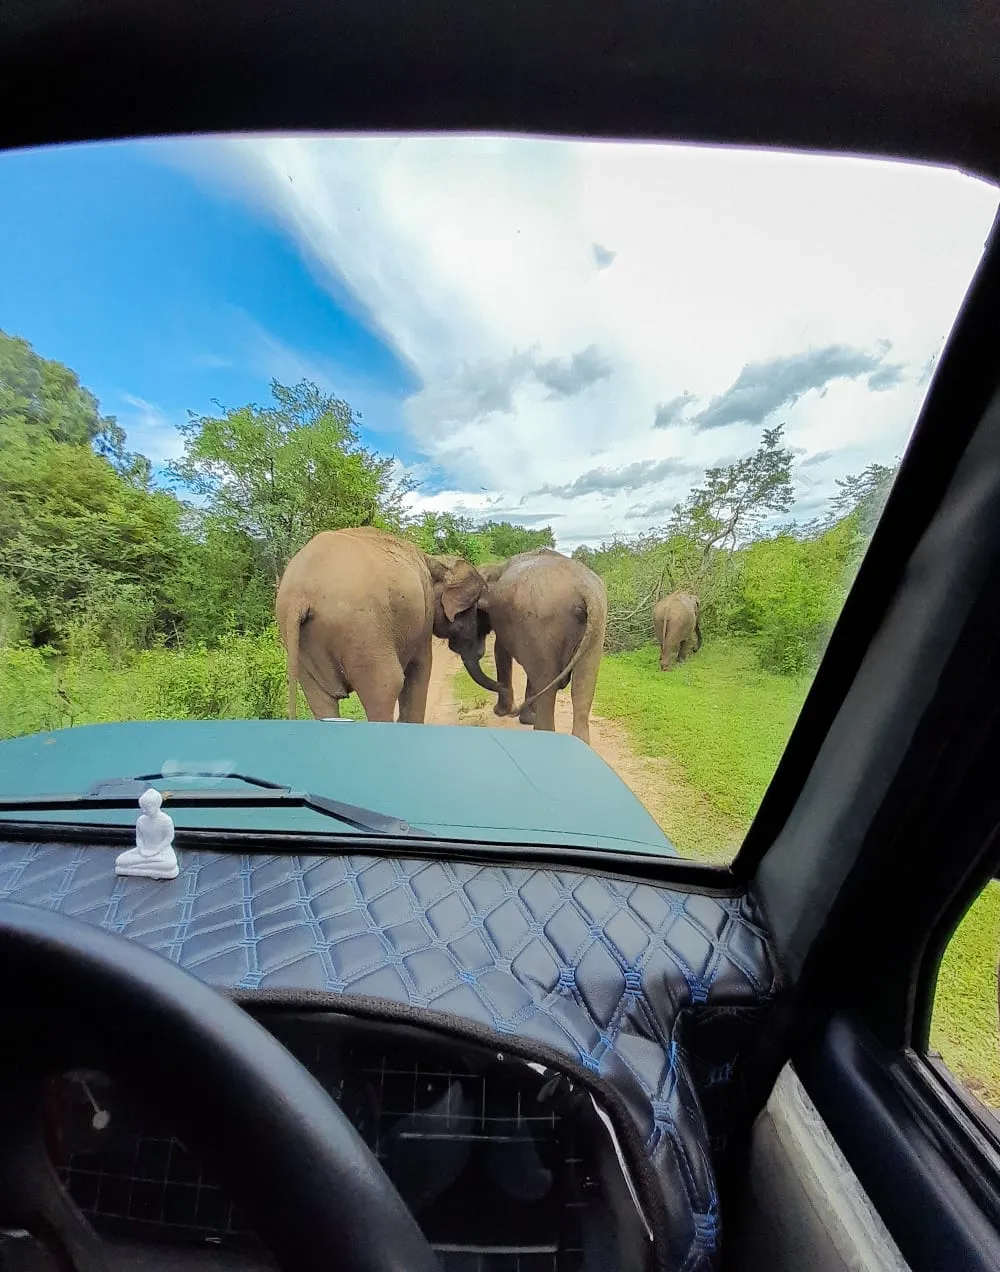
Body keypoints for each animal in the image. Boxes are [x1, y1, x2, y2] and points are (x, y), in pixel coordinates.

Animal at [276, 527, 498, 723]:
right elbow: (420, 668)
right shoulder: (423, 616)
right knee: (385, 688)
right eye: (475, 612)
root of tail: (298, 595)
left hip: (301, 643)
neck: (435, 560)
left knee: (320, 698)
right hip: (364, 632)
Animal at [474, 548, 608, 745]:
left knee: (547, 685)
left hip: (543, 620)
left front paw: (501, 712)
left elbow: (500, 651)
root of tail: (585, 588)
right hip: (597, 626)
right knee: (582, 686)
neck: (496, 567)